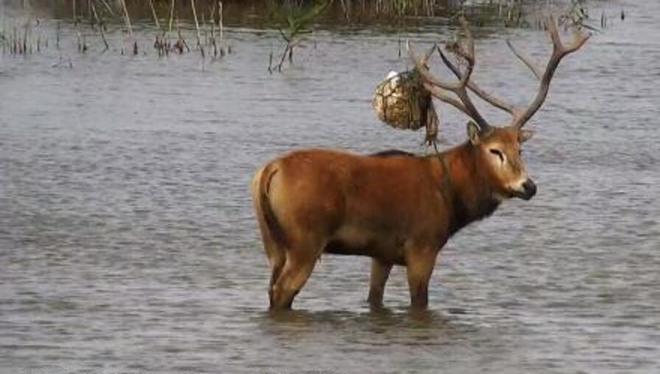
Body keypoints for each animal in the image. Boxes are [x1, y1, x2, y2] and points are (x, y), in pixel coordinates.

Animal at [251, 15, 588, 310]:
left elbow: (374, 298)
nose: (528, 186)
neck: (452, 198)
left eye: (520, 149)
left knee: (270, 287)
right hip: (306, 239)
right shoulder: (422, 246)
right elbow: (420, 302)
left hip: (273, 244)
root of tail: (269, 171)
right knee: (282, 292)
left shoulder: (382, 253)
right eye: (495, 151)